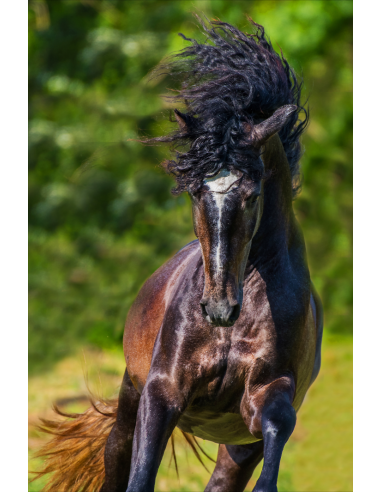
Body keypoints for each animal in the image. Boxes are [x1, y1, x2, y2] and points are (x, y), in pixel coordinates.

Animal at [33, 16, 324, 492]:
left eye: (252, 194)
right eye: (193, 191)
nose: (220, 308)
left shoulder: (264, 399)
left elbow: (277, 429)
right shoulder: (162, 390)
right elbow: (139, 477)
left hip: (236, 447)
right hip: (128, 405)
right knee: (118, 460)